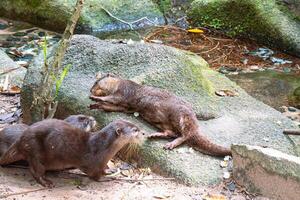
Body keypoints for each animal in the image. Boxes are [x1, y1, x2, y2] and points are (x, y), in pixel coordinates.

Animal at [0, 119, 142, 188]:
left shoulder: (102, 163)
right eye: (135, 130)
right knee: (35, 170)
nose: (144, 133)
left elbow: (103, 170)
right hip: (34, 150)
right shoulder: (93, 164)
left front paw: (109, 172)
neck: (103, 148)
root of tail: (21, 139)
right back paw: (46, 182)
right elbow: (95, 175)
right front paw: (106, 178)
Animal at [88, 73, 231, 156]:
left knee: (185, 135)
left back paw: (170, 144)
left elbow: (111, 98)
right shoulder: (125, 107)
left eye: (96, 82)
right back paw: (155, 135)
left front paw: (96, 98)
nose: (90, 89)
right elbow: (113, 107)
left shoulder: (123, 92)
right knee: (172, 133)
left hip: (181, 116)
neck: (119, 84)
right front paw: (96, 105)